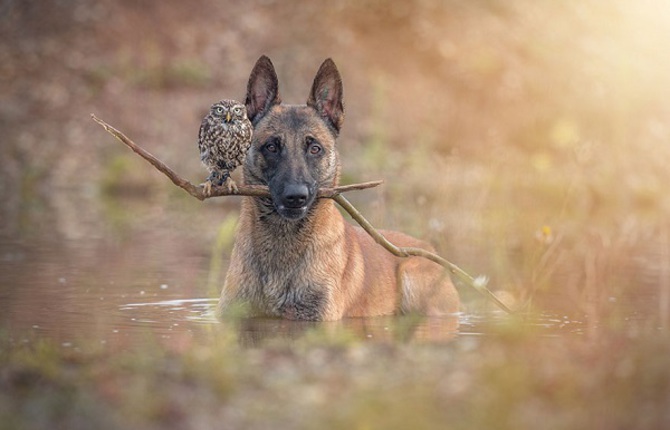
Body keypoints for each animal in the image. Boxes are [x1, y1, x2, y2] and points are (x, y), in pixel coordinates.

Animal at [220, 55, 462, 320]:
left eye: (314, 148)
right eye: (272, 147)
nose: (296, 197)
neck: (282, 243)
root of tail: (428, 248)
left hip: (412, 275)